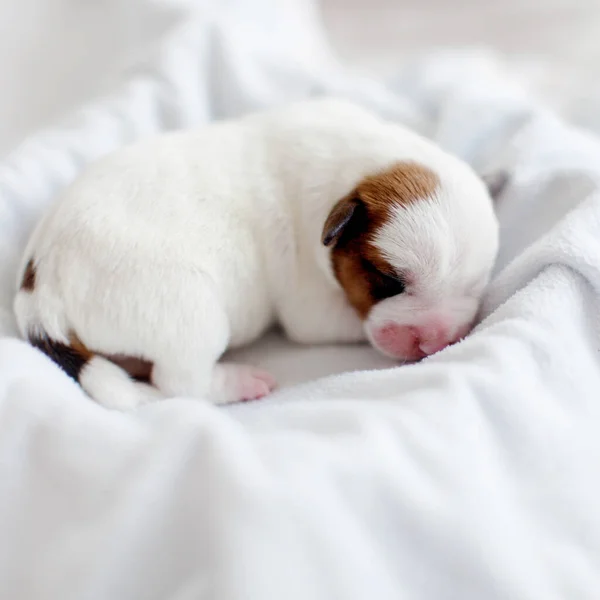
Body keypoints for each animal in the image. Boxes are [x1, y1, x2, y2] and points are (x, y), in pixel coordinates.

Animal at [15, 98, 502, 410]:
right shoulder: (310, 305)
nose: (436, 340)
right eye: (387, 282)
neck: (356, 164)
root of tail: (40, 293)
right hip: (189, 313)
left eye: (474, 287)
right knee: (180, 382)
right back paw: (239, 381)